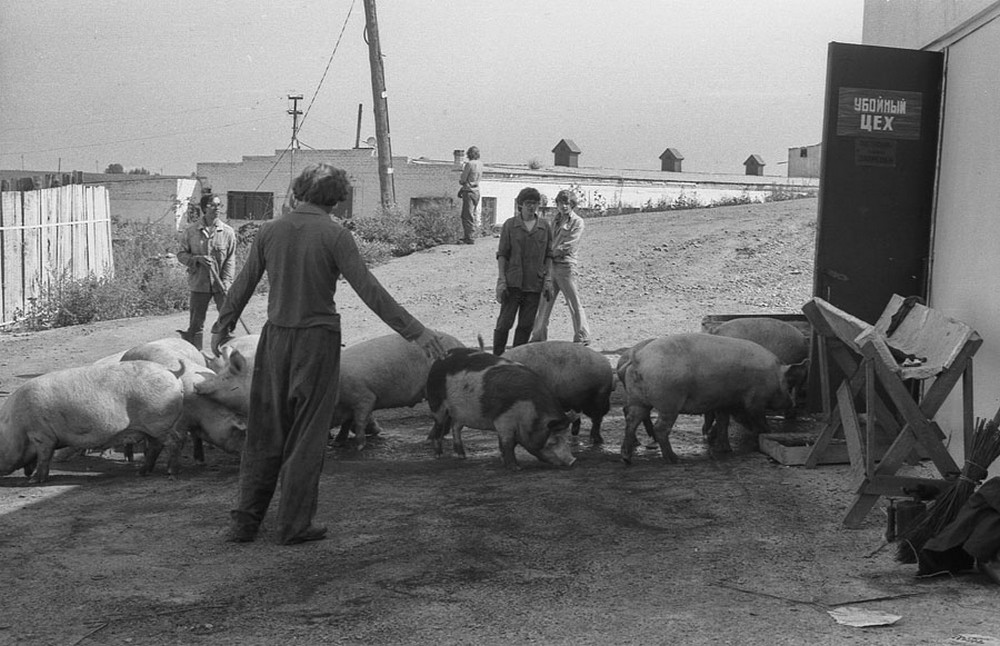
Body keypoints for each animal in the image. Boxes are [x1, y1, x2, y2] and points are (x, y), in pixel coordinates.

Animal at [0, 362, 184, 484]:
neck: (14, 425)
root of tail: (171, 372)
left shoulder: (42, 435)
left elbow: (44, 458)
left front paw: (34, 481)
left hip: (158, 423)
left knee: (175, 441)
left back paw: (171, 475)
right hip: (150, 428)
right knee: (155, 446)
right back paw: (141, 473)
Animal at [330, 334, 466, 450]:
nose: (378, 430)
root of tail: (461, 345)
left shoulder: (365, 398)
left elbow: (359, 421)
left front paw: (359, 447)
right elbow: (346, 424)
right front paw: (337, 443)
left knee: (444, 415)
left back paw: (428, 439)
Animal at [426, 350, 576, 470]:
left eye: (566, 437)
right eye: (553, 441)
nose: (573, 461)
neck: (529, 413)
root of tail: (438, 359)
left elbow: (507, 443)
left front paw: (503, 462)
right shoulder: (504, 420)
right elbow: (508, 443)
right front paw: (516, 468)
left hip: (459, 414)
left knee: (455, 427)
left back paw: (462, 456)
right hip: (437, 403)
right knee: (439, 425)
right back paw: (438, 455)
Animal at [620, 334, 808, 466]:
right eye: (788, 385)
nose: (791, 403)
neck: (773, 376)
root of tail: (639, 358)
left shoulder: (723, 402)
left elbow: (724, 422)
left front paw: (727, 450)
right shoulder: (754, 400)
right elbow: (757, 419)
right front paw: (767, 433)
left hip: (638, 400)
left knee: (631, 421)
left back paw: (627, 458)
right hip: (669, 403)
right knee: (660, 428)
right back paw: (675, 460)